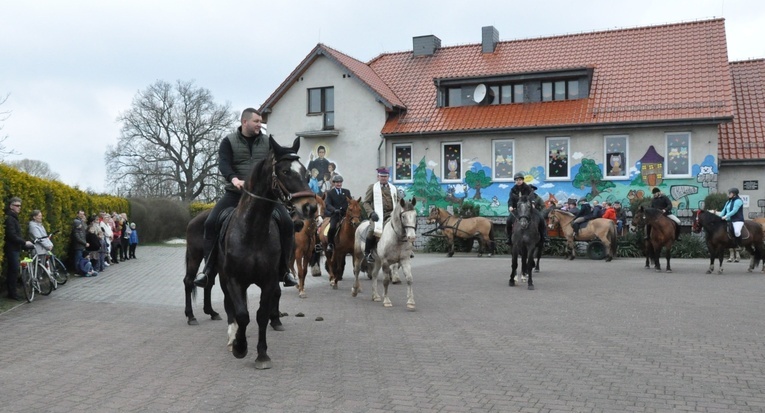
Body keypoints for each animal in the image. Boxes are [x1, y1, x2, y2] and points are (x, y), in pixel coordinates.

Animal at [216, 137, 314, 368]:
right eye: (285, 171)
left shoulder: (269, 280)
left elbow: (260, 315)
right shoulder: (234, 280)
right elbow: (242, 314)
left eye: (306, 173)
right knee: (230, 307)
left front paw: (262, 355)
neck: (252, 230)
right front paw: (240, 347)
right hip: (224, 280)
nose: (310, 207)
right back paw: (232, 337)